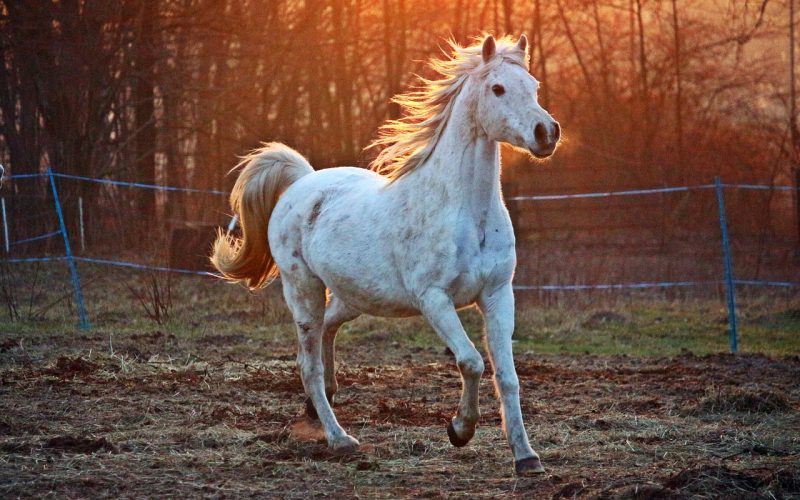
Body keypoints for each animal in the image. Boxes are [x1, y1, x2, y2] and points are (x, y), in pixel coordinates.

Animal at [214, 35, 564, 476]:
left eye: (533, 86)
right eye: (497, 88)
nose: (546, 132)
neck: (466, 212)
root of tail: (301, 182)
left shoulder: (498, 294)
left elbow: (508, 376)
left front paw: (526, 457)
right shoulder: (434, 299)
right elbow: (471, 361)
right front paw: (459, 430)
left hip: (353, 296)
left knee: (328, 331)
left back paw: (319, 404)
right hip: (303, 290)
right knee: (307, 364)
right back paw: (340, 439)